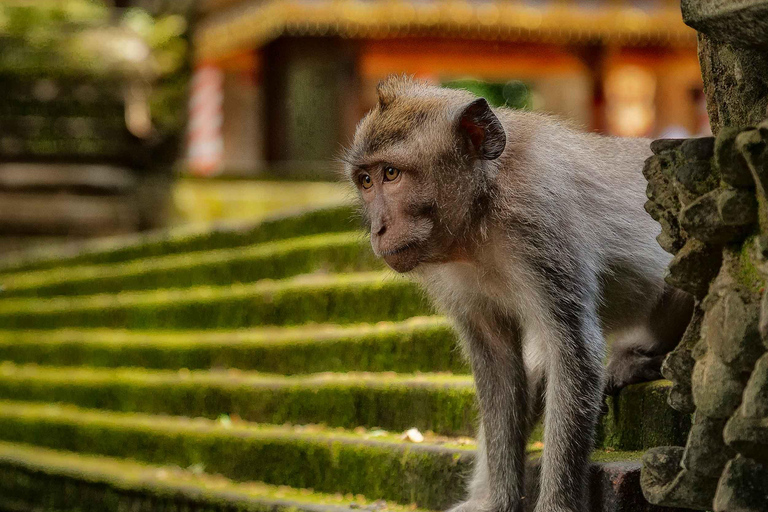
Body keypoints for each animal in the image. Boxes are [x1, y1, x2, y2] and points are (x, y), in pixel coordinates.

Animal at [343, 75, 693, 512]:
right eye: (366, 181)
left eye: (391, 173)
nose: (378, 229)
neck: (481, 214)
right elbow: (499, 364)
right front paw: (498, 500)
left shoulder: (541, 221)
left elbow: (573, 351)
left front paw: (555, 505)